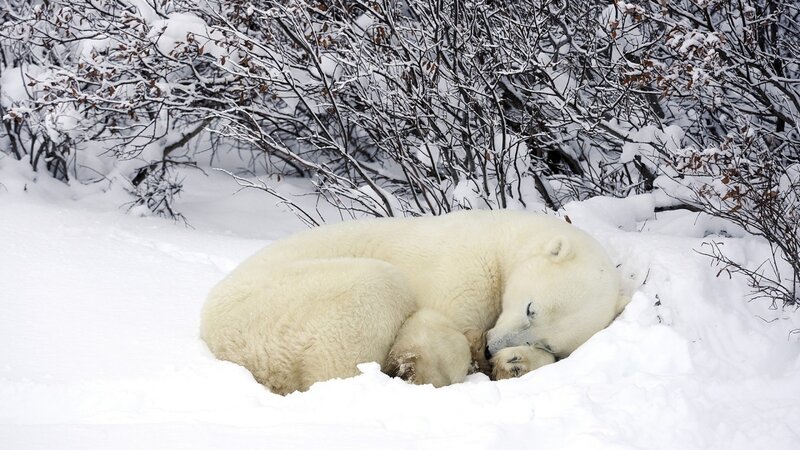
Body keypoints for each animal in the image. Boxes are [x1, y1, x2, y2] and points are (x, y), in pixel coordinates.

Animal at [200, 209, 624, 395]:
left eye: (547, 342)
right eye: (530, 308)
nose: (492, 348)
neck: (503, 239)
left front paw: (515, 363)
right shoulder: (464, 266)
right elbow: (436, 325)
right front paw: (424, 368)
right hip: (279, 305)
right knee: (374, 290)